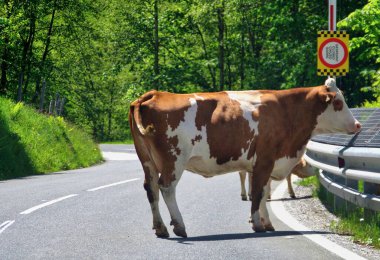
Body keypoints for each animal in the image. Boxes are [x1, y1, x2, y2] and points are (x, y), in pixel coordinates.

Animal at [129, 77, 360, 238]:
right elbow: (257, 193)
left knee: (151, 189)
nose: (357, 124)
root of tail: (154, 94)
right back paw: (179, 226)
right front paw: (258, 224)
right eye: (338, 102)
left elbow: (263, 192)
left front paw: (266, 223)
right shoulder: (265, 160)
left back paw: (160, 228)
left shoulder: (261, 164)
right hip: (174, 160)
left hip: (147, 161)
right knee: (166, 187)